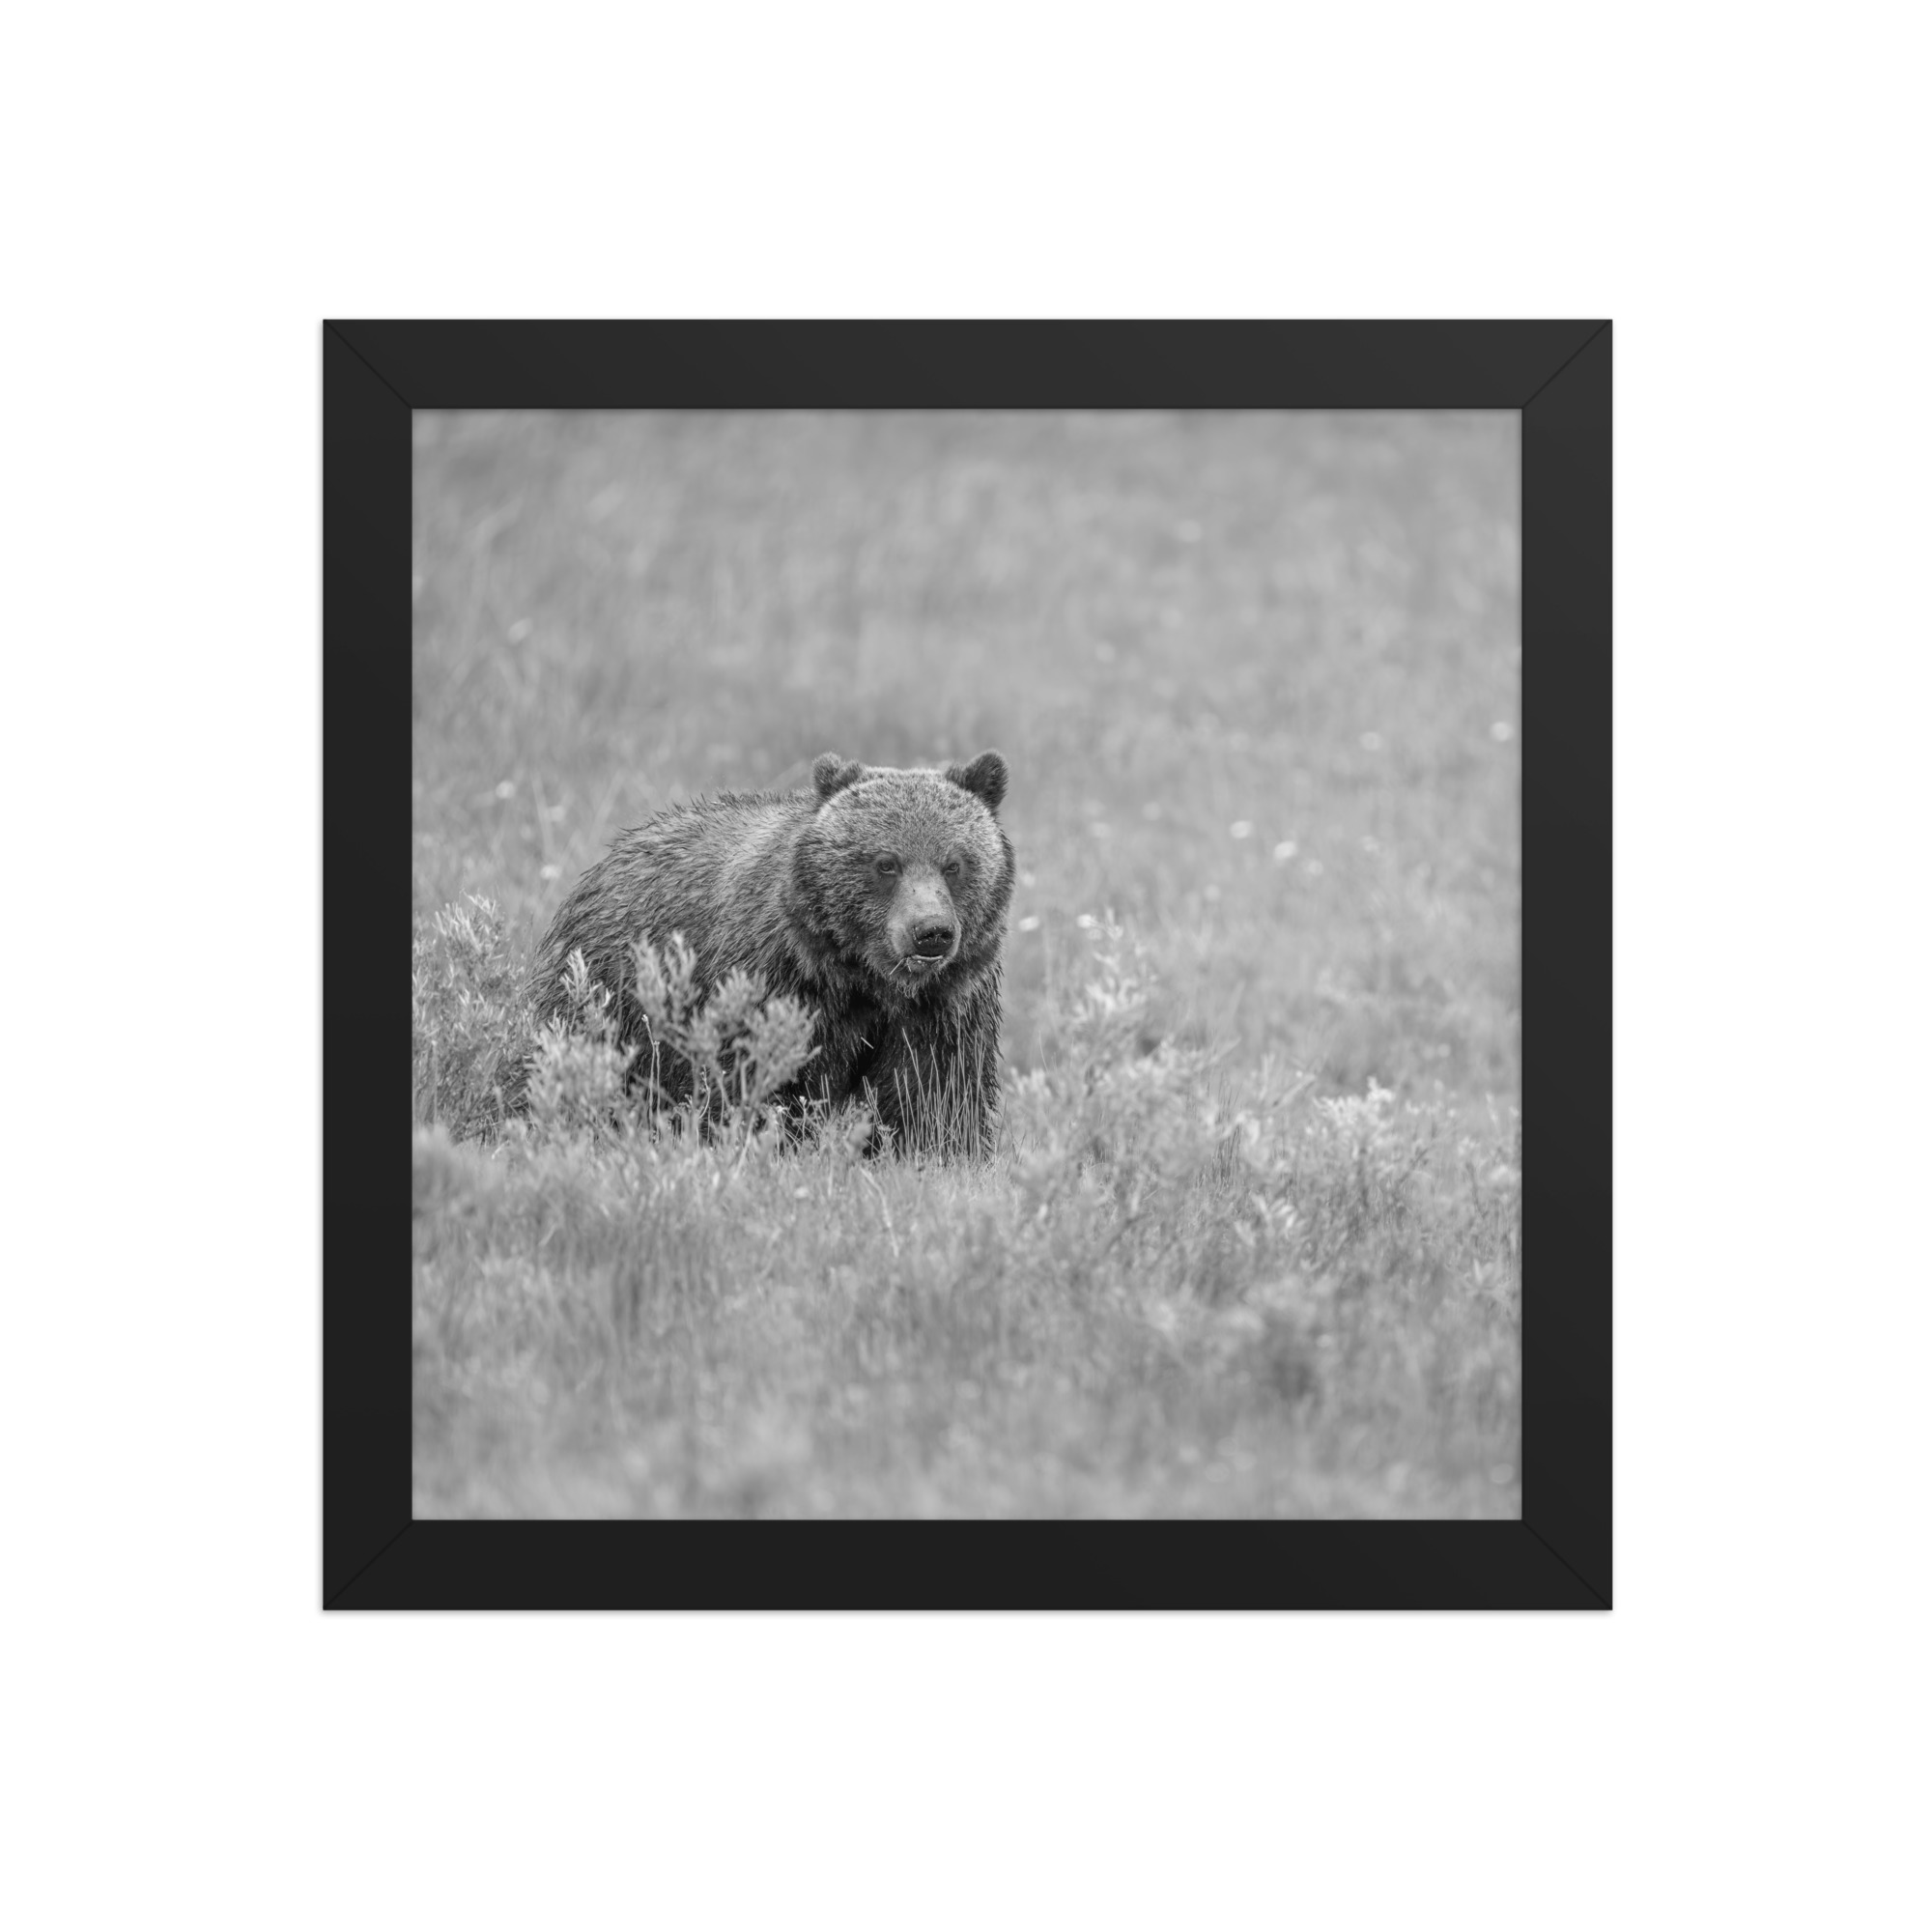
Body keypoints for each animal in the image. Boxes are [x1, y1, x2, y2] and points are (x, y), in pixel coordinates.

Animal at [522, 749, 1014, 1156]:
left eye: (954, 863)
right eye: (885, 863)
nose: (931, 932)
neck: (864, 978)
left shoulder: (944, 1006)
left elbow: (935, 1096)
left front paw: (937, 1155)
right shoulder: (775, 981)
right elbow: (758, 1079)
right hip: (609, 992)